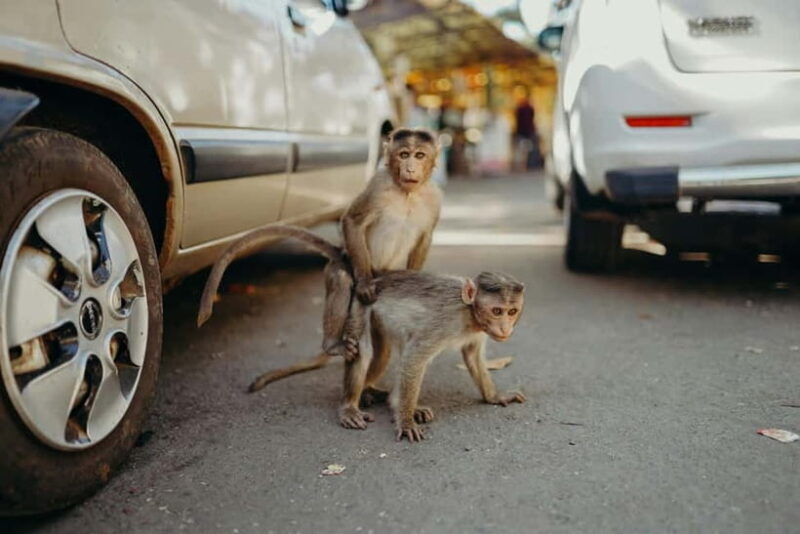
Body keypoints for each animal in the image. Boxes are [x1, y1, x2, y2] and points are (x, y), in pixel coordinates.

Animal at [196, 128, 442, 390]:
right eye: (404, 154)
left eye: (419, 155)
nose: (410, 168)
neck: (407, 193)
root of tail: (343, 252)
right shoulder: (378, 185)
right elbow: (352, 221)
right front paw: (364, 284)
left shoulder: (435, 197)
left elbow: (425, 236)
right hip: (347, 262)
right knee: (342, 278)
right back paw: (333, 344)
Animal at [337, 270, 526, 440]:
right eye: (497, 311)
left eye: (512, 312)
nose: (505, 329)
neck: (469, 312)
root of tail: (373, 282)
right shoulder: (445, 320)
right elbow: (415, 356)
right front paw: (406, 423)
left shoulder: (478, 330)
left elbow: (472, 356)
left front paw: (495, 397)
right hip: (361, 304)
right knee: (364, 351)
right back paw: (351, 407)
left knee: (388, 353)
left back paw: (389, 399)